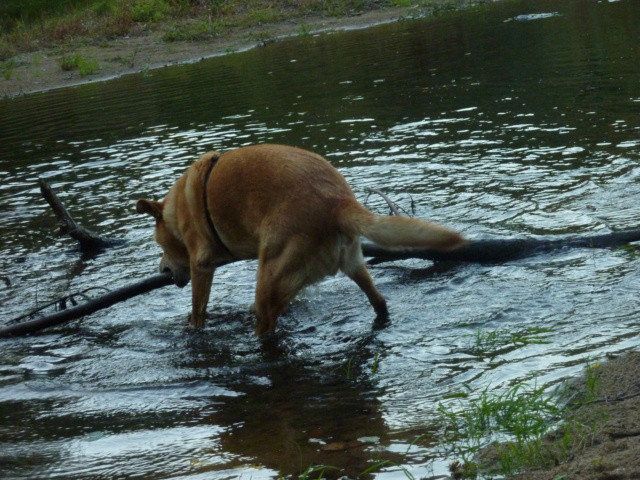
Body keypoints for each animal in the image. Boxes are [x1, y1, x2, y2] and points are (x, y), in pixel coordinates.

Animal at [136, 144, 464, 336]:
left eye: (161, 247)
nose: (163, 271)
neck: (178, 210)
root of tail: (337, 201)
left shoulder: (201, 265)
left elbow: (197, 311)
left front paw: (193, 332)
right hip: (353, 265)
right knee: (380, 302)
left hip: (267, 288)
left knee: (265, 327)